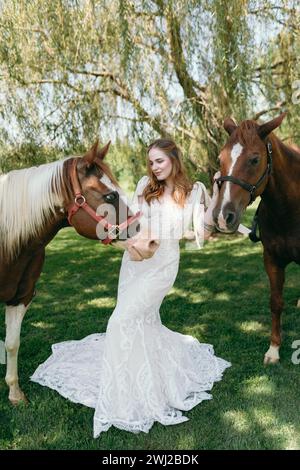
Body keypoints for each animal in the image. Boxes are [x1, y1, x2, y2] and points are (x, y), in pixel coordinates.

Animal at [213, 113, 300, 364]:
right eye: (220, 158)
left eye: (254, 159)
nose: (223, 217)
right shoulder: (271, 260)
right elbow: (275, 303)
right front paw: (274, 349)